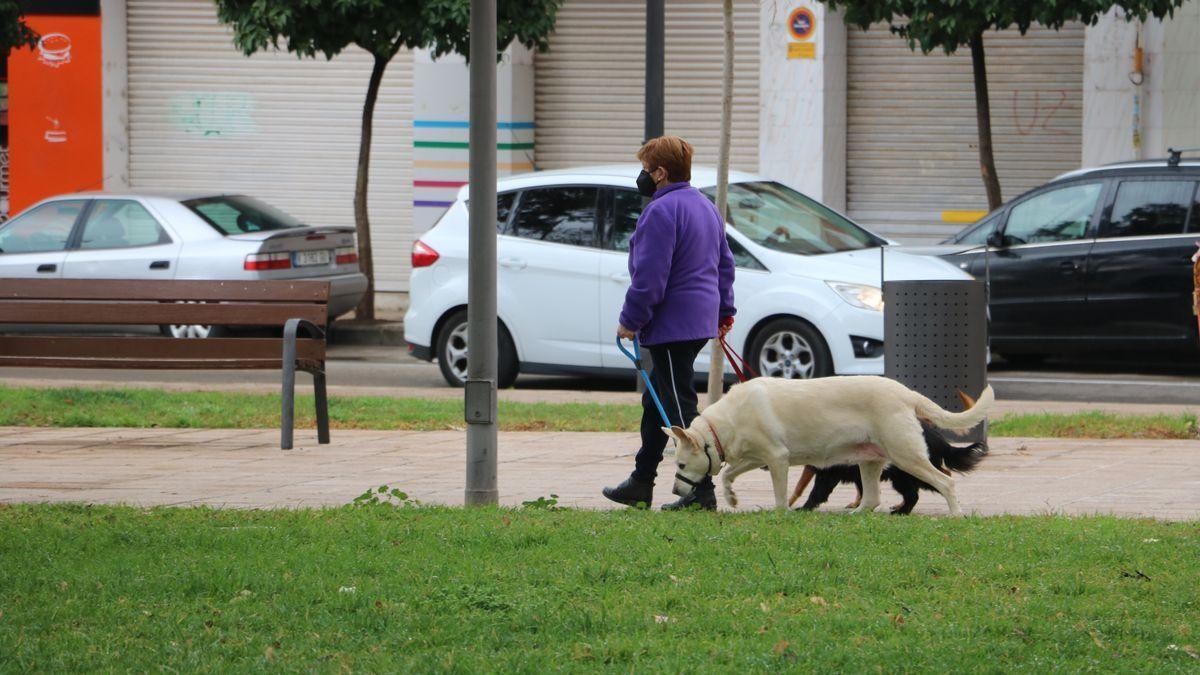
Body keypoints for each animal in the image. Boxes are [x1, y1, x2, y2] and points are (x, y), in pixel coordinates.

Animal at [667, 374, 993, 511]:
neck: (724, 423)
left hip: (906, 457)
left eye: (680, 464)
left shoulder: (777, 458)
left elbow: (781, 496)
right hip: (870, 461)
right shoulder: (757, 458)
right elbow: (727, 474)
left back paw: (955, 515)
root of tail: (905, 393)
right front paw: (732, 498)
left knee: (946, 482)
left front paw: (780, 513)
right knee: (871, 499)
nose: (674, 491)